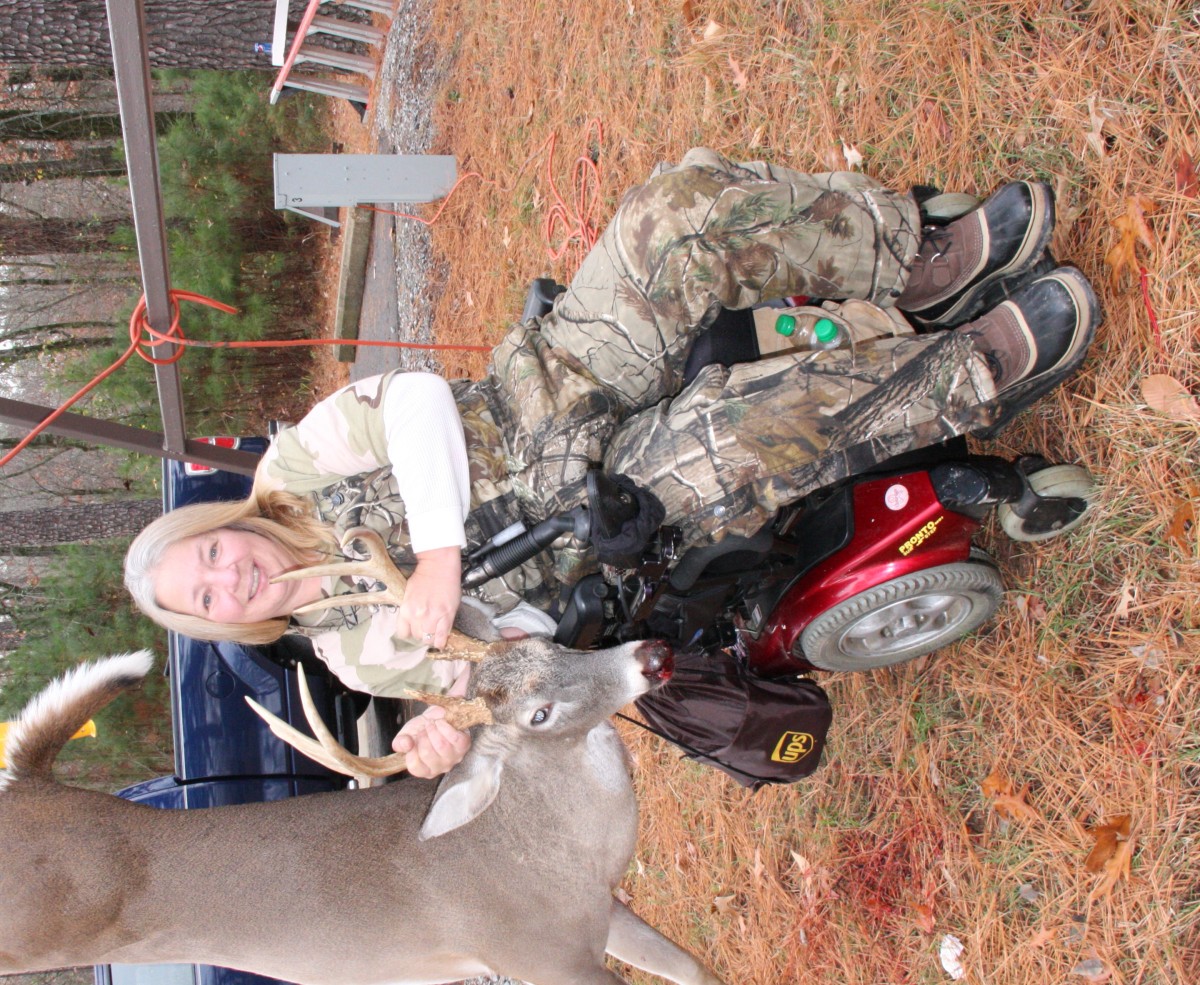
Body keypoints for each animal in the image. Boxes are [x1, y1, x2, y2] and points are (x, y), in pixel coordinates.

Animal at [0, 636, 725, 985]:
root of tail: (29, 787)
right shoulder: (532, 953)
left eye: (552, 645)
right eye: (537, 714)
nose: (654, 654)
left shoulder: (600, 915)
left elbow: (695, 969)